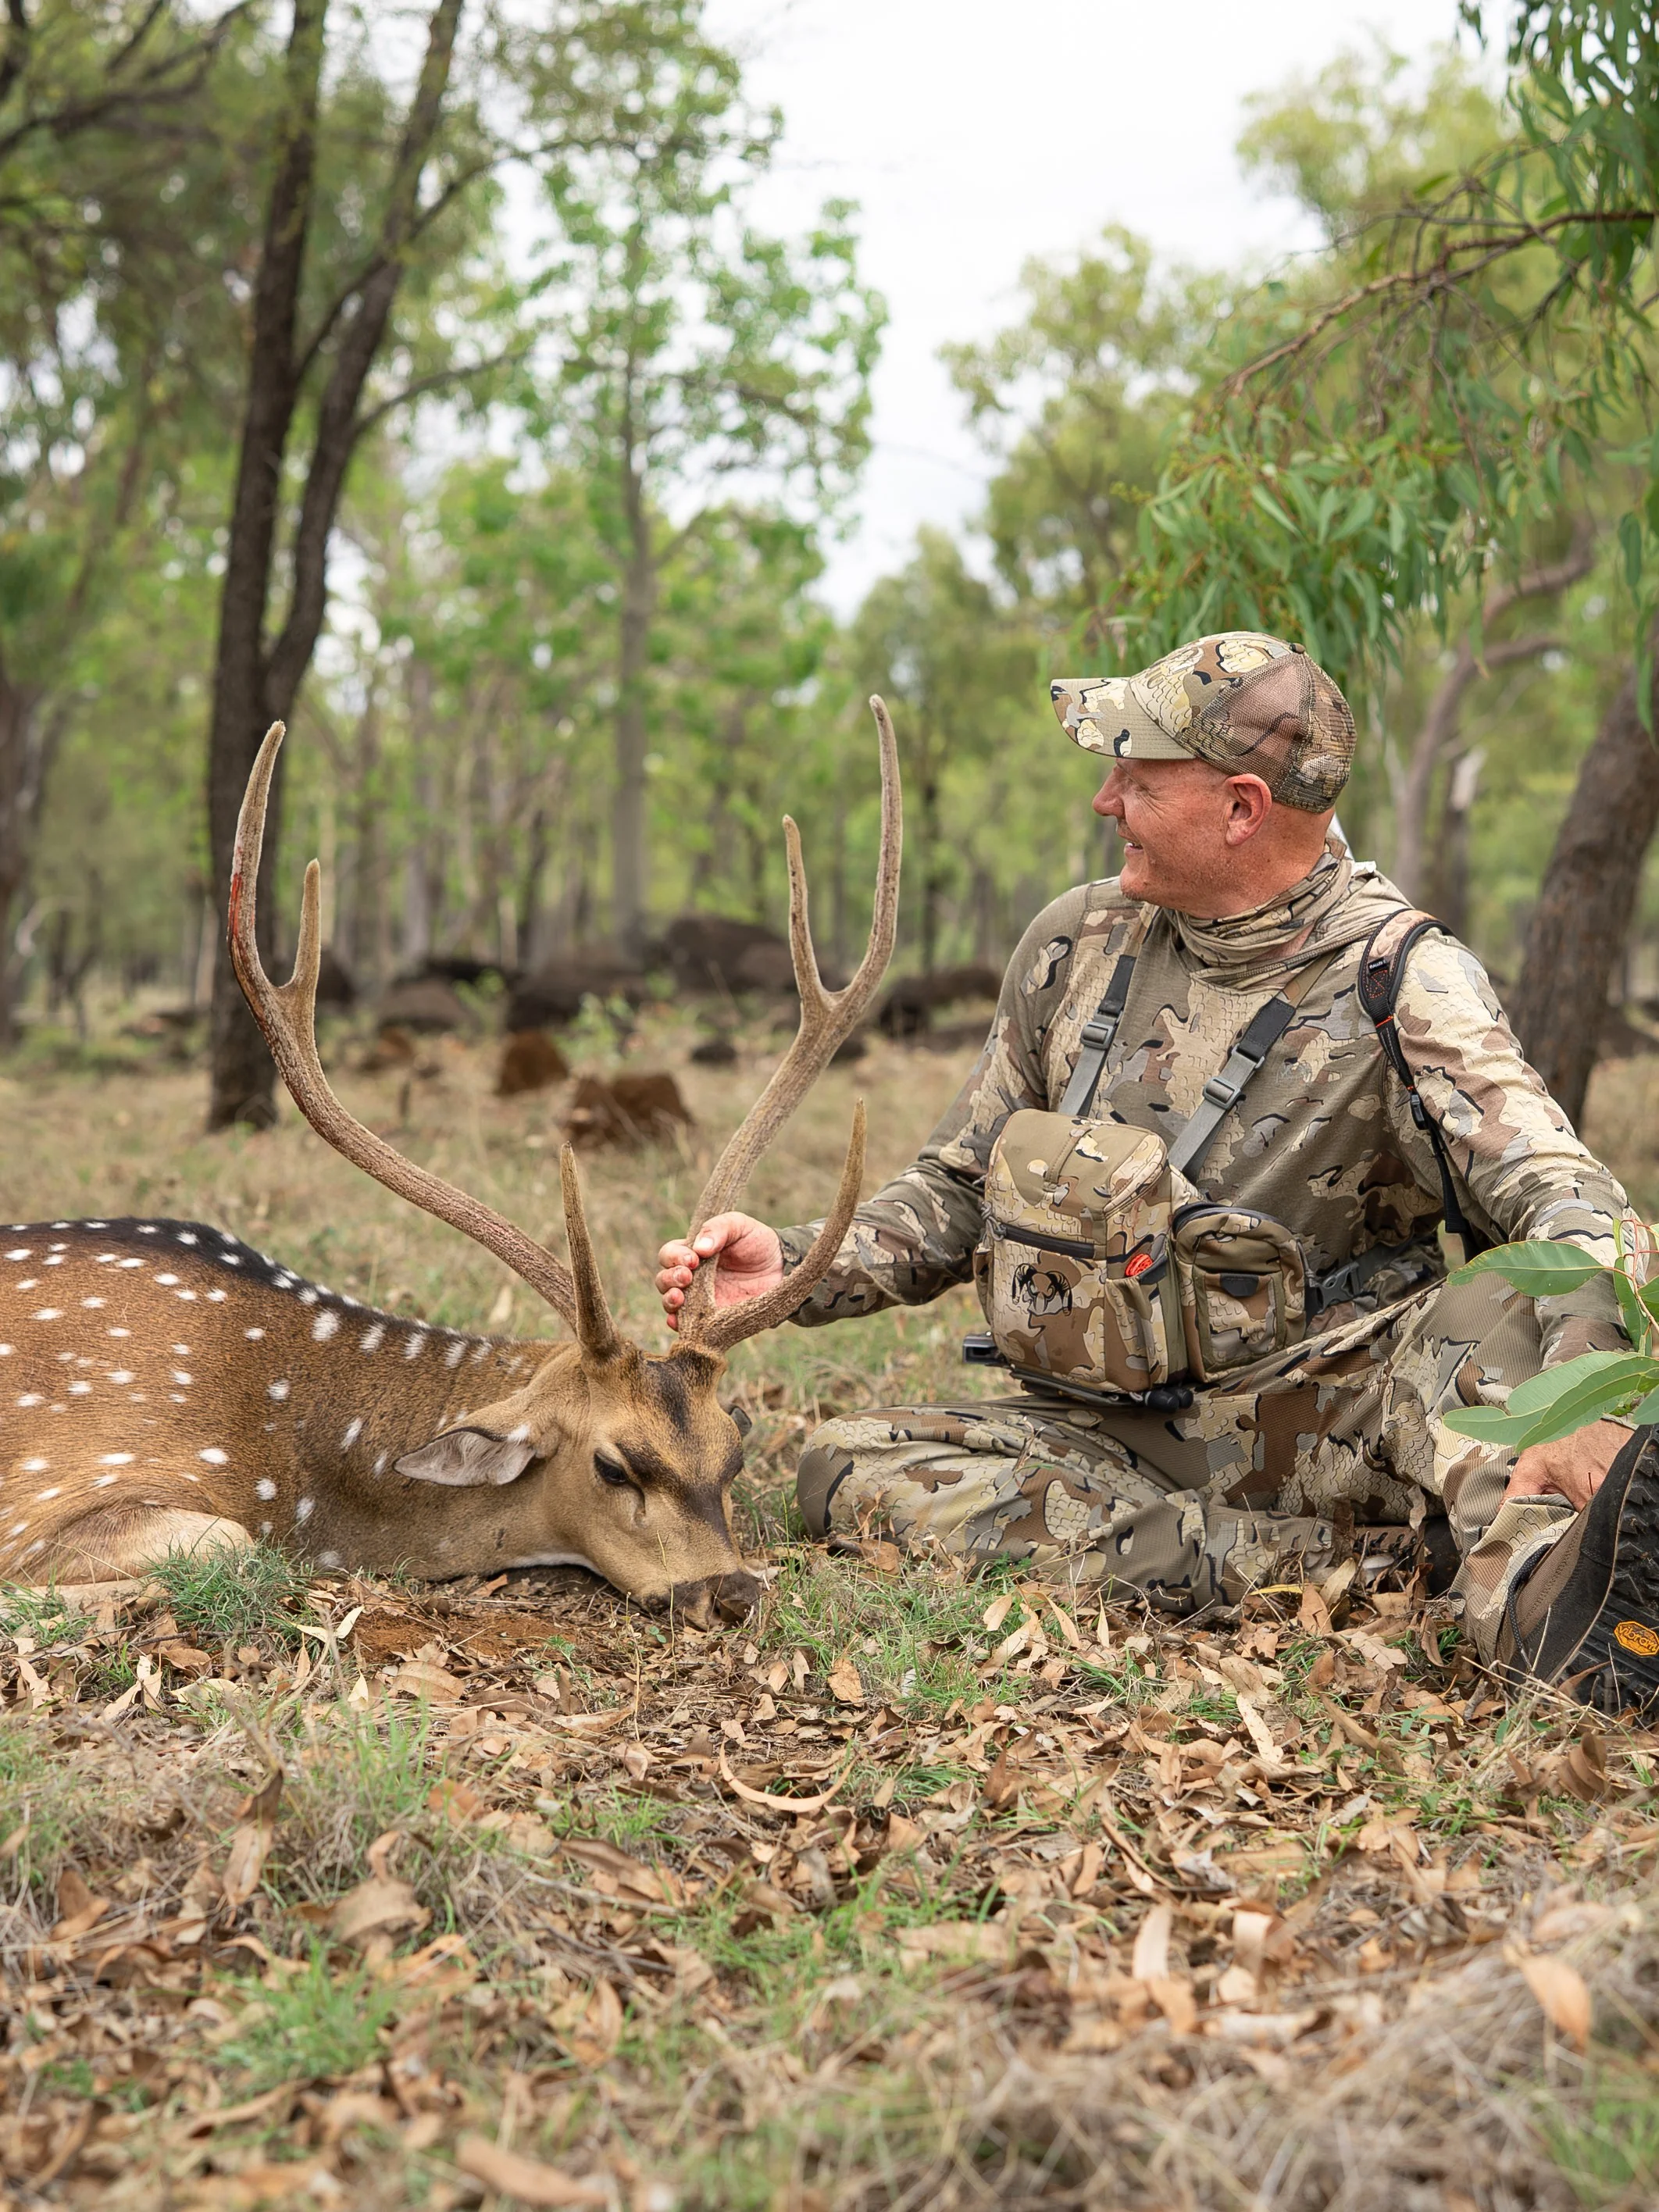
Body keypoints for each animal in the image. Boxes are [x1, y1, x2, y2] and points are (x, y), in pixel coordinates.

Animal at [0, 706, 901, 1624]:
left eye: (731, 1454)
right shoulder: (52, 1491)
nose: (732, 1590)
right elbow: (228, 1544)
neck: (292, 1469)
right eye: (615, 1466)